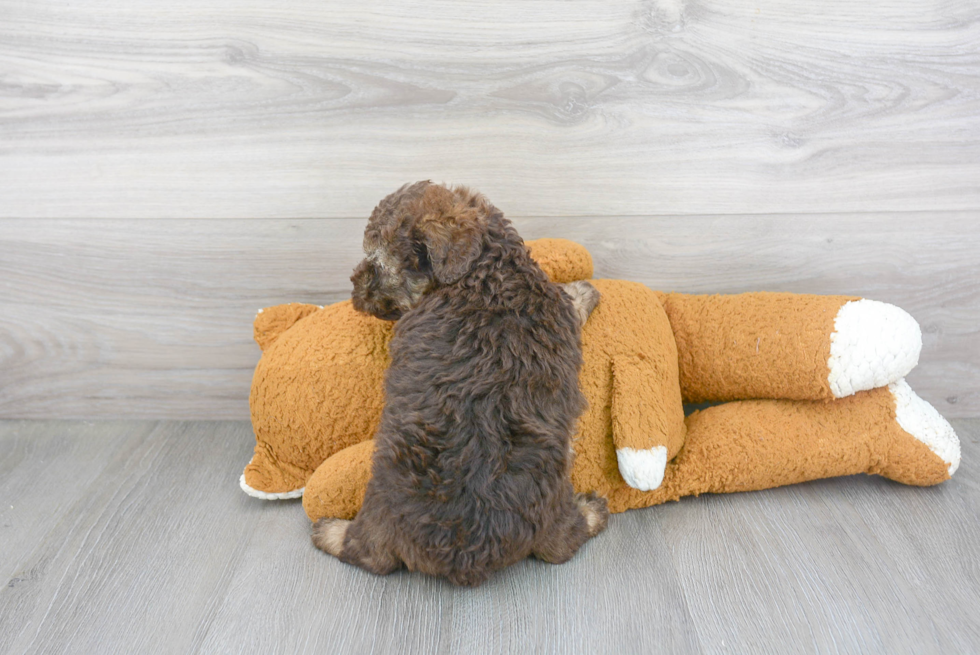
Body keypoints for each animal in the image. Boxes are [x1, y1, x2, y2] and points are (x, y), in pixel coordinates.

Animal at [314, 182, 604, 588]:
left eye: (377, 265)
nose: (356, 292)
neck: (482, 269)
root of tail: (463, 554)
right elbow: (571, 303)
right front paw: (584, 289)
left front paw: (584, 289)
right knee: (559, 548)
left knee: (368, 554)